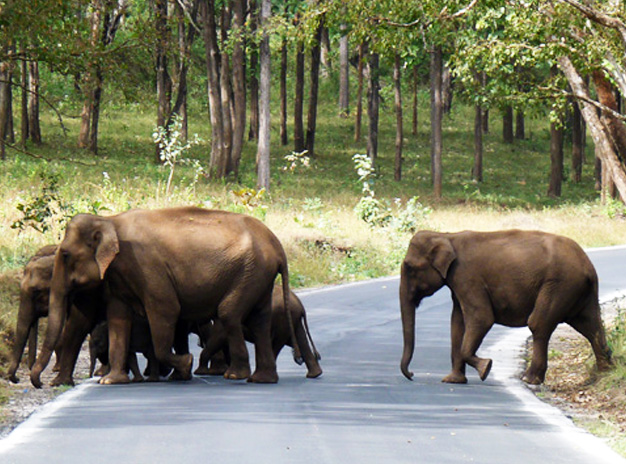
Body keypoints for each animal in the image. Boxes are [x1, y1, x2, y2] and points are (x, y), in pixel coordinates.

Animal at [30, 207, 301, 388]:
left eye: (65, 255)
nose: (41, 384)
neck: (110, 221)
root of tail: (278, 247)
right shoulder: (119, 276)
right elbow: (118, 318)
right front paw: (111, 381)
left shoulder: (147, 267)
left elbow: (166, 311)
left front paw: (186, 364)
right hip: (258, 276)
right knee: (259, 319)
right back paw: (262, 379)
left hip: (250, 272)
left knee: (229, 313)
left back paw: (236, 375)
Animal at [194, 285, 323, 379]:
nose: (199, 343)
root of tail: (300, 305)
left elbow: (220, 336)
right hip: (292, 319)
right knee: (300, 340)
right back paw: (314, 374)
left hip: (282, 318)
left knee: (279, 343)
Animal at [399, 229, 612, 385]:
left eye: (409, 267)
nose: (412, 374)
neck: (447, 235)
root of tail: (588, 265)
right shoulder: (457, 283)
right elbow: (456, 323)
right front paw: (453, 380)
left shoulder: (467, 277)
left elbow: (482, 318)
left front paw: (486, 368)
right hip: (579, 291)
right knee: (591, 325)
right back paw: (604, 373)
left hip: (560, 285)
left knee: (538, 323)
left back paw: (529, 379)